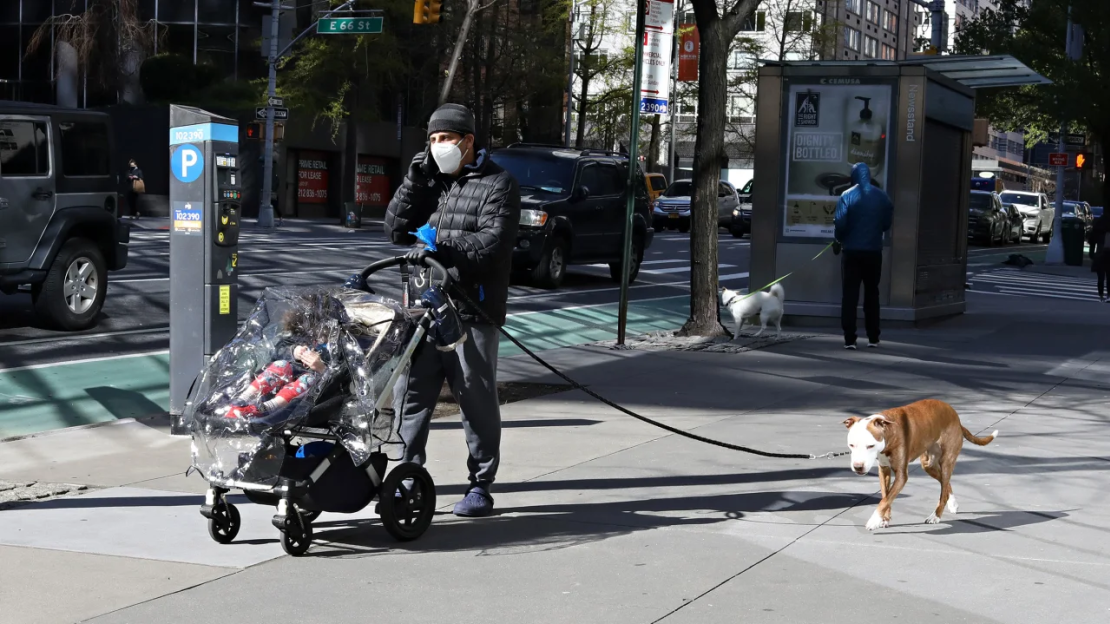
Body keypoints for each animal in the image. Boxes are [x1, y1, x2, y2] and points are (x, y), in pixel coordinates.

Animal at [839, 397, 999, 528]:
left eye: (870, 446)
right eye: (851, 445)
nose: (858, 467)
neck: (888, 432)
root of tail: (956, 418)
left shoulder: (901, 475)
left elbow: (886, 499)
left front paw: (874, 520)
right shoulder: (884, 469)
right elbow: (886, 495)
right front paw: (883, 519)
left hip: (947, 460)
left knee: (943, 487)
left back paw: (936, 516)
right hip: (928, 464)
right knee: (945, 484)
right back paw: (952, 503)